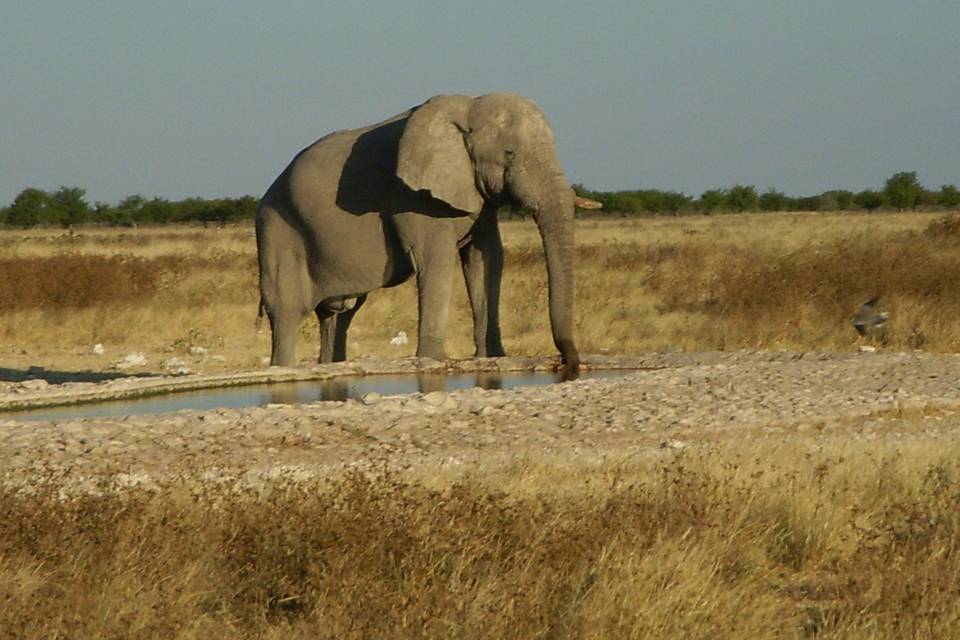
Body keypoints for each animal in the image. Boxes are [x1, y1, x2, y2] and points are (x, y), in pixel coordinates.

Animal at [255, 90, 580, 370]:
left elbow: (486, 258)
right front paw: (434, 360)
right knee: (287, 312)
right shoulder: (412, 197)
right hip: (277, 230)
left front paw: (495, 357)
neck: (469, 106)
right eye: (509, 153)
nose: (568, 362)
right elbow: (436, 260)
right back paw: (283, 368)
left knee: (341, 314)